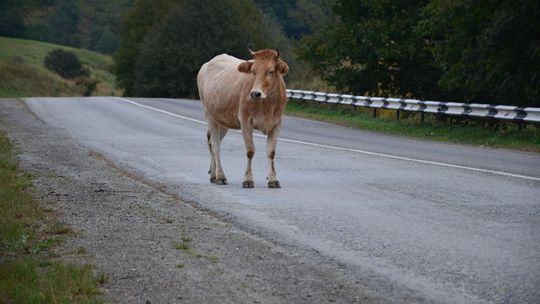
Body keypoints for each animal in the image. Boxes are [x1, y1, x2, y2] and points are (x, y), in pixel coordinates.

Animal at [197, 48, 288, 188]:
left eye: (271, 71)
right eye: (253, 71)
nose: (255, 93)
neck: (268, 104)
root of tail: (207, 63)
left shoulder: (277, 123)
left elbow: (271, 152)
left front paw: (273, 180)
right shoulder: (245, 121)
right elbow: (250, 151)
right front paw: (248, 180)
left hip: (223, 120)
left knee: (213, 142)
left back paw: (213, 175)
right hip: (209, 115)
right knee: (215, 145)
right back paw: (220, 176)